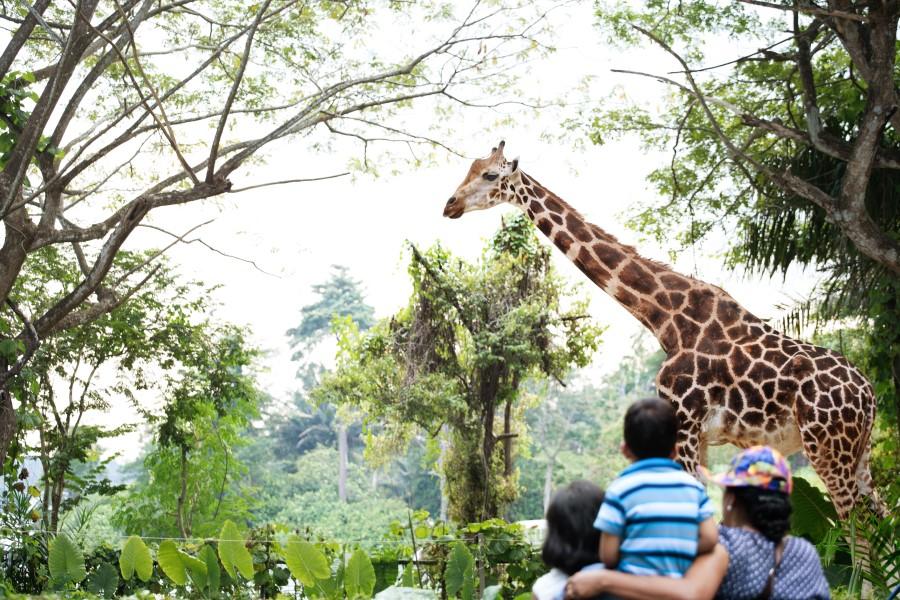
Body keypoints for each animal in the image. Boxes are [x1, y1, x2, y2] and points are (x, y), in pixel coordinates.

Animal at [442, 140, 883, 518]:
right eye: (469, 168)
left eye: (489, 175)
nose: (450, 204)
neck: (665, 319)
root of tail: (870, 395)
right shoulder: (699, 437)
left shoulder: (684, 425)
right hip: (858, 453)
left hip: (827, 446)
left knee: (855, 529)